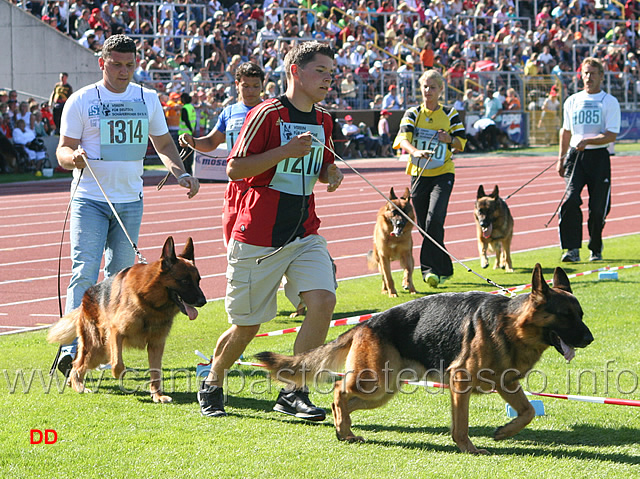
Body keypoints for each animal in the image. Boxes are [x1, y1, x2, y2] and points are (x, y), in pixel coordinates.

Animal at [48, 238, 208, 404]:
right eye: (185, 281)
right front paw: (118, 374)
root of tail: (85, 298)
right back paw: (79, 386)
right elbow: (118, 363)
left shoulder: (156, 345)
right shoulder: (116, 332)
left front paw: (157, 395)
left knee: (78, 364)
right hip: (98, 348)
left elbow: (156, 372)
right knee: (77, 366)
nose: (203, 301)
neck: (150, 303)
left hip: (101, 351)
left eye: (198, 281)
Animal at [254, 264, 592, 456]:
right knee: (339, 391)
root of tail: (367, 323)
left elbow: (528, 412)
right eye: (566, 316)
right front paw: (468, 449)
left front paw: (504, 432)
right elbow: (461, 426)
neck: (511, 324)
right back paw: (344, 431)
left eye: (581, 314)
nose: (589, 339)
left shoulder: (506, 384)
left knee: (346, 402)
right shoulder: (460, 383)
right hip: (374, 383)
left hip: (383, 391)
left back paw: (343, 429)